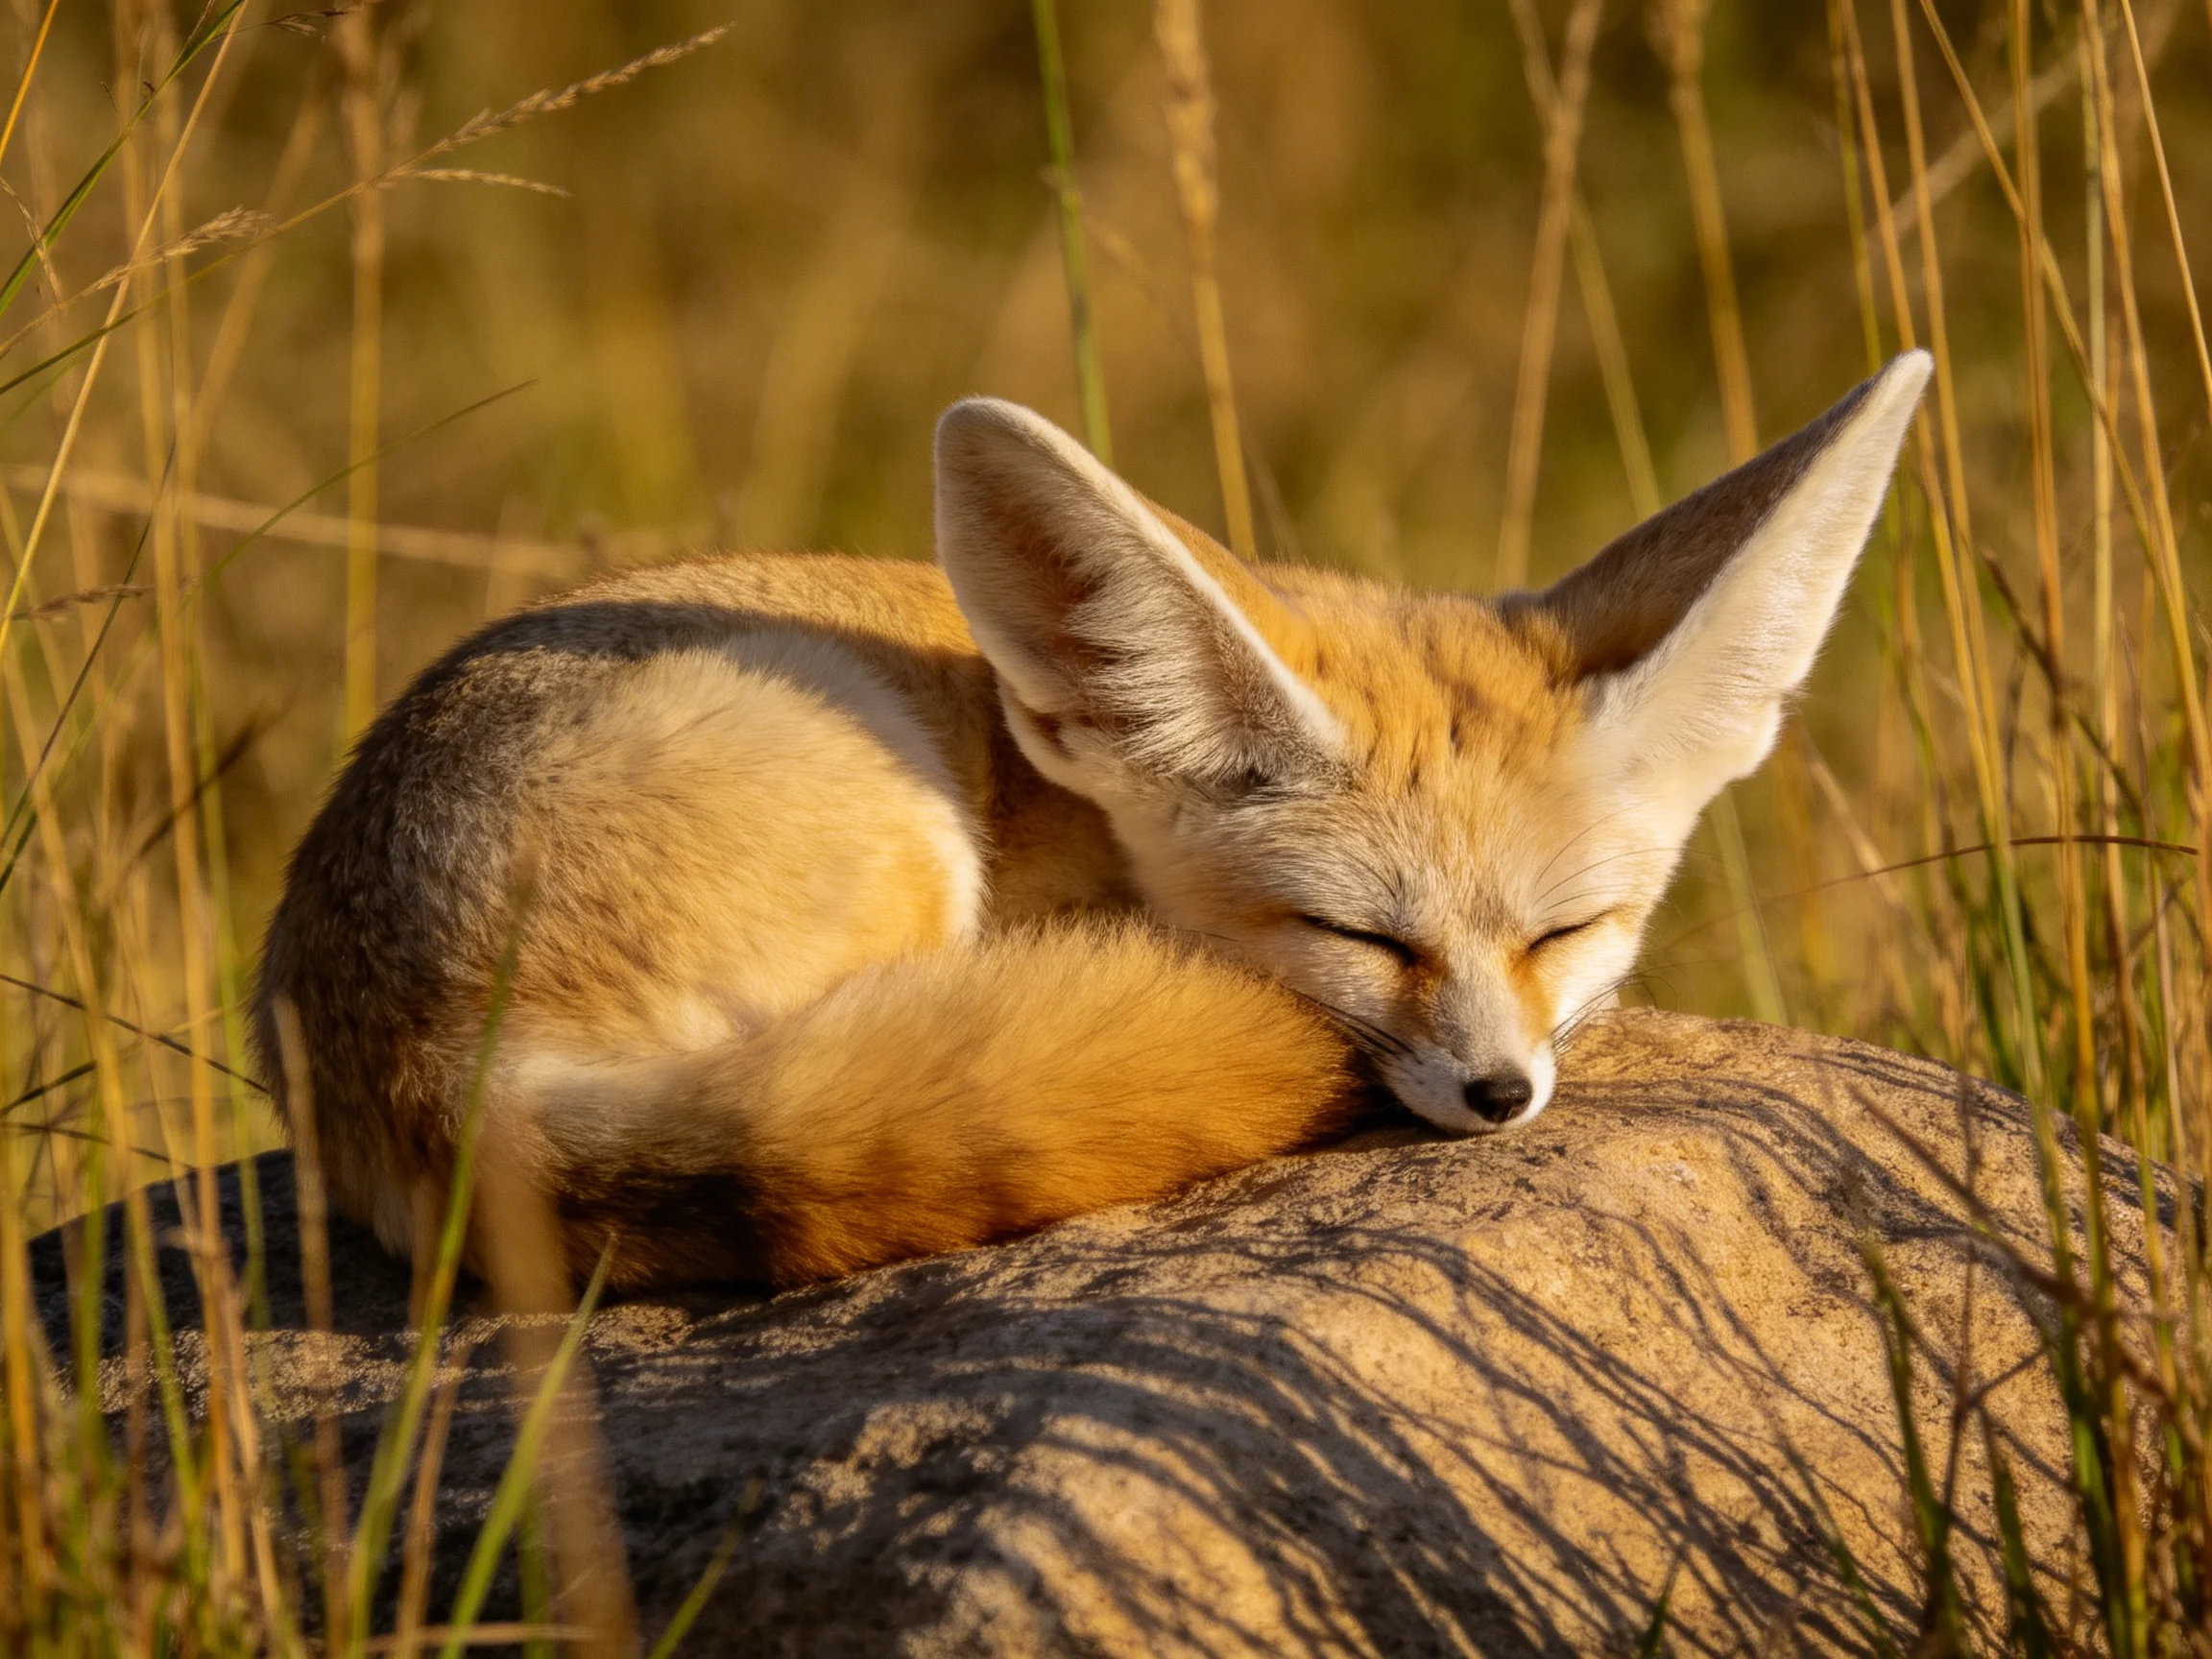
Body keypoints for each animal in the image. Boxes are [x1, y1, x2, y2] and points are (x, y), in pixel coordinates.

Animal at [252, 350, 1932, 1292]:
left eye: (1568, 930)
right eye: (1358, 935)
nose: (1500, 1096)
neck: (1068, 791)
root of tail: (428, 1068)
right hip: (892, 822)